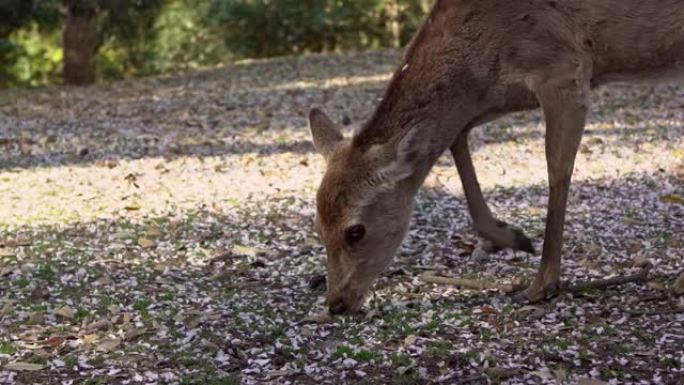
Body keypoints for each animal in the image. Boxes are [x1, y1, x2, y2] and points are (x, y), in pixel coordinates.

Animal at [310, 0, 684, 316]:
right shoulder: (498, 96)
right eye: (318, 226)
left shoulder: (564, 70)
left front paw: (542, 284)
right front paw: (513, 237)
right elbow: (456, 138)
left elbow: (557, 170)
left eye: (355, 231)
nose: (336, 303)